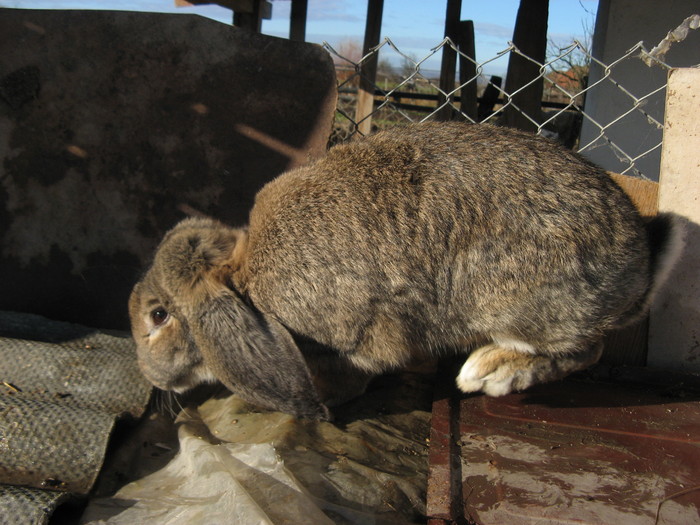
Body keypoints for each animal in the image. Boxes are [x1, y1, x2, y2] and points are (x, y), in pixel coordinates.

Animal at [129, 121, 680, 420]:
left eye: (158, 316)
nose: (150, 377)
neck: (243, 281)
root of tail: (642, 257)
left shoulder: (357, 336)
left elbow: (356, 371)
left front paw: (323, 401)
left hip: (516, 300)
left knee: (586, 348)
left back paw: (492, 371)